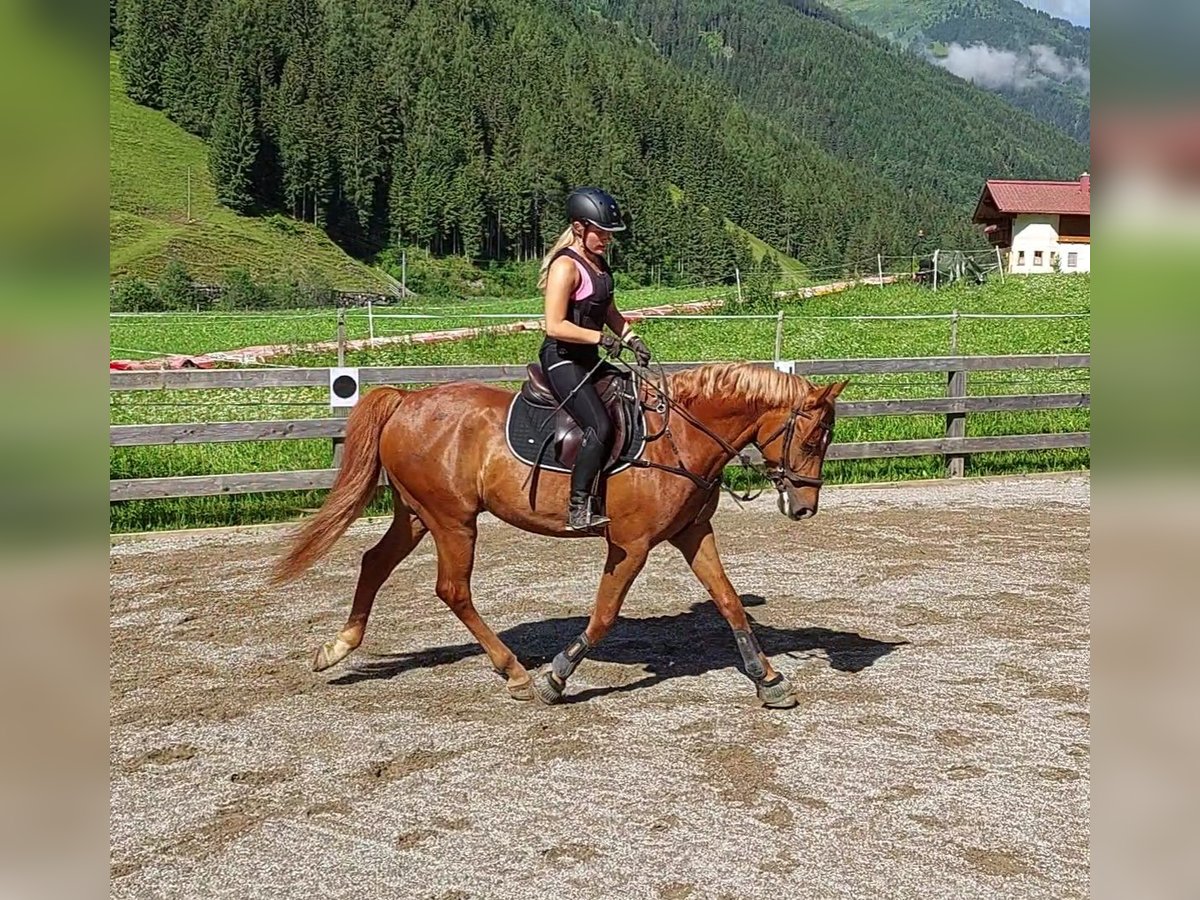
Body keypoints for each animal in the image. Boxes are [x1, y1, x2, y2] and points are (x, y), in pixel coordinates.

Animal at [273, 361, 846, 708]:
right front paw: (557, 676)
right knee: (453, 590)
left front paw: (768, 680)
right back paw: (515, 673)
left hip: (416, 515)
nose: (805, 507)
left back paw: (337, 648)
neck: (679, 437)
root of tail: (407, 400)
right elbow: (605, 613)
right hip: (453, 521)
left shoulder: (692, 533)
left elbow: (728, 601)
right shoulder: (630, 545)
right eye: (812, 438)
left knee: (374, 563)